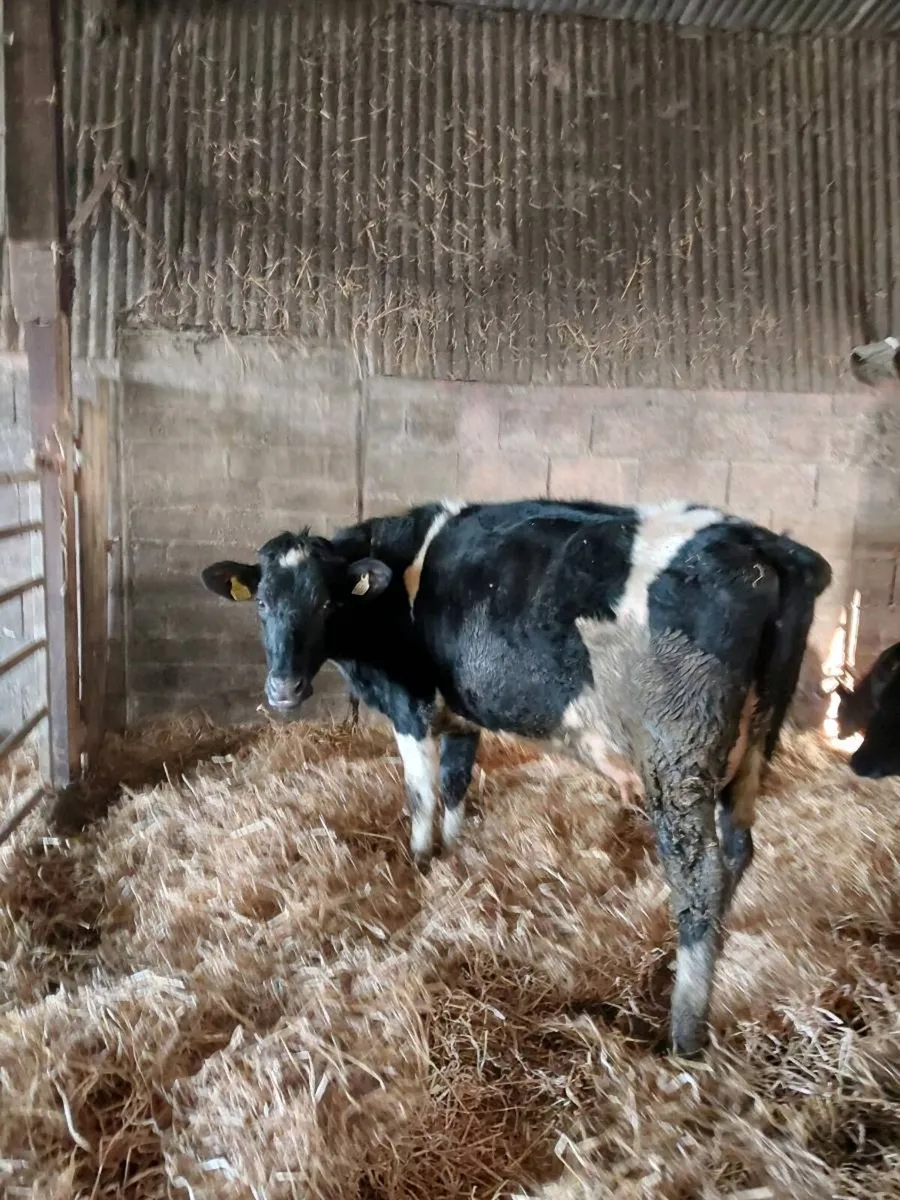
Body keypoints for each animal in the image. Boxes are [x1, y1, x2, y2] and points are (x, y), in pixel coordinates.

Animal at [200, 498, 832, 1057]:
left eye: (327, 605)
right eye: (262, 603)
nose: (283, 689)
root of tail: (768, 546)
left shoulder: (410, 706)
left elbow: (421, 795)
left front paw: (419, 863)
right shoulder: (461, 710)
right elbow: (455, 785)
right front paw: (453, 857)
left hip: (679, 757)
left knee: (699, 876)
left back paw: (683, 1033)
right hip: (753, 750)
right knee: (738, 851)